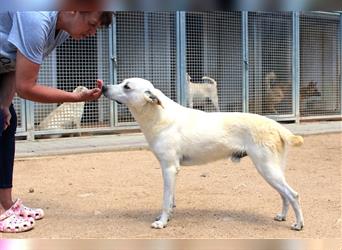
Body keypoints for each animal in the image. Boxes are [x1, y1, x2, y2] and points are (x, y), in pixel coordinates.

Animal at [102, 78, 304, 230]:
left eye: (127, 86)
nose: (103, 87)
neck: (160, 116)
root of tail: (275, 125)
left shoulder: (168, 168)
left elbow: (166, 200)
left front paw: (162, 222)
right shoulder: (172, 170)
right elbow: (171, 198)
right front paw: (166, 217)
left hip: (267, 169)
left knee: (293, 194)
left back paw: (298, 225)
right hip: (274, 170)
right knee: (284, 195)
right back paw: (282, 216)